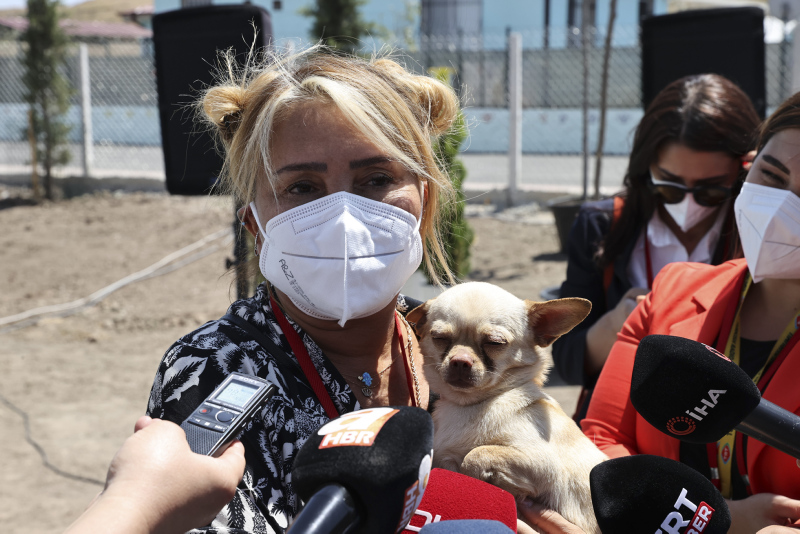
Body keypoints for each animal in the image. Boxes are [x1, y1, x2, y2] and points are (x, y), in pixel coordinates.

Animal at [406, 282, 608, 532]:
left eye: (495, 343)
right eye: (439, 337)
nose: (460, 361)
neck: (471, 406)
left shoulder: (545, 466)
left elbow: (476, 455)